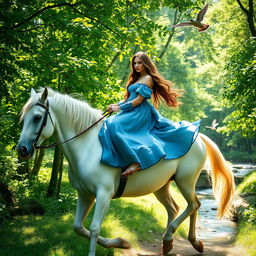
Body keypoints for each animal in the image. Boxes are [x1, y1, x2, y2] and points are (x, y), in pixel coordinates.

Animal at [17, 87, 235, 255]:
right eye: (24, 117)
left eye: (37, 117)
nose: (22, 150)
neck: (87, 147)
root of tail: (197, 136)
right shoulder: (85, 194)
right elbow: (78, 227)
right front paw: (119, 242)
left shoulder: (103, 195)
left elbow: (94, 228)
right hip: (162, 187)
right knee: (176, 208)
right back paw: (170, 242)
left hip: (185, 181)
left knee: (194, 205)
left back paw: (189, 241)